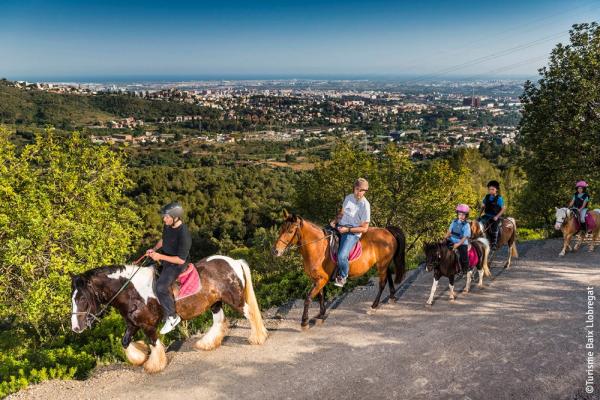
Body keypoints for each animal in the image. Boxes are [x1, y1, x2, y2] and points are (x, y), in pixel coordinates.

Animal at [71, 255, 268, 374]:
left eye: (82, 298)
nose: (76, 328)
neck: (131, 291)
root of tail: (233, 261)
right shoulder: (132, 324)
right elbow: (125, 342)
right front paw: (140, 357)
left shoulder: (148, 325)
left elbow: (154, 343)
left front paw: (154, 365)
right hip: (215, 303)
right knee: (219, 321)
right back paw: (206, 344)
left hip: (235, 300)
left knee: (250, 313)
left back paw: (258, 338)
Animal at [274, 211, 406, 326]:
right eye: (280, 229)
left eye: (291, 231)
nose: (275, 251)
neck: (317, 247)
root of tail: (387, 231)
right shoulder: (317, 279)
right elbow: (320, 296)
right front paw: (321, 314)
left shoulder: (322, 279)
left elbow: (308, 298)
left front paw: (304, 321)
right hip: (383, 263)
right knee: (388, 276)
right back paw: (392, 296)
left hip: (382, 264)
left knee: (382, 283)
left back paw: (374, 306)